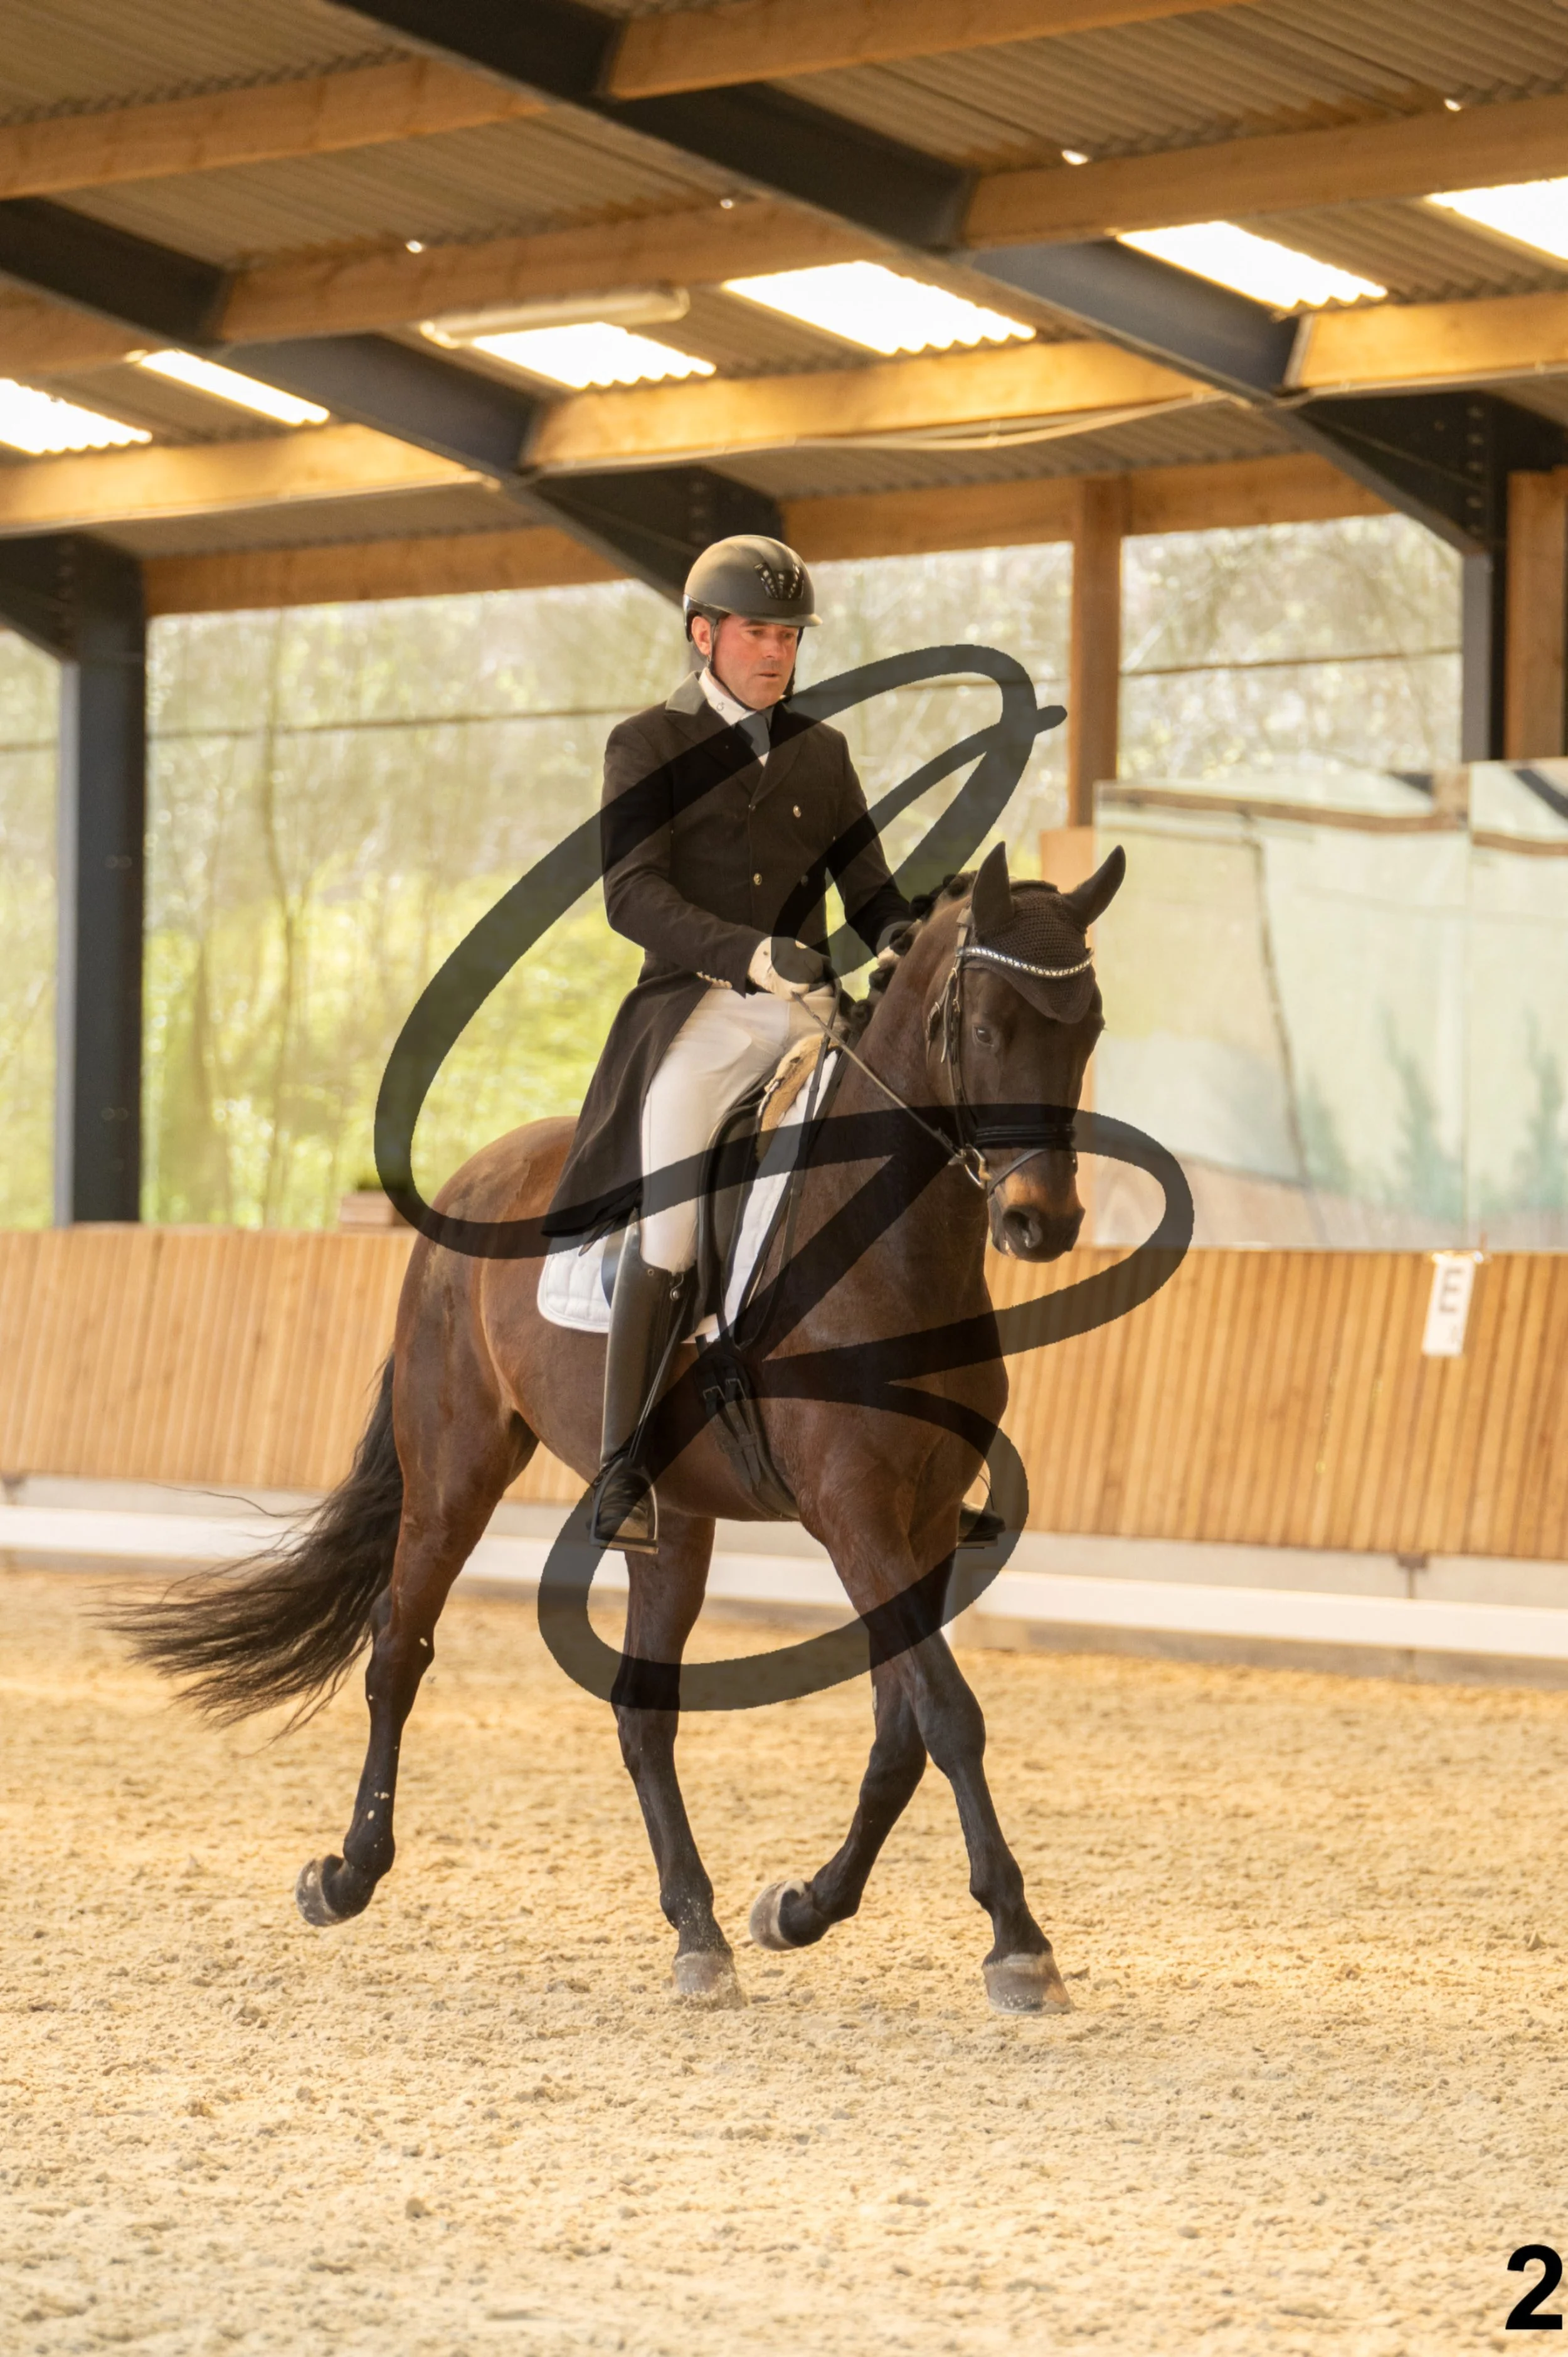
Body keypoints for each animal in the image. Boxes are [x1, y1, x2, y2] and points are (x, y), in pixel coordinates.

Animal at [119, 842, 1124, 2015]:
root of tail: (479, 1172)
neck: (885, 1248)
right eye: (986, 1029)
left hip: (673, 1516)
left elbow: (901, 1731)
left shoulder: (918, 1522)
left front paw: (801, 1907)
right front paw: (1019, 1941)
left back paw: (697, 1927)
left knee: (644, 1710)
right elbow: (949, 1715)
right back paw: (348, 1874)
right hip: (456, 1465)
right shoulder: (857, 1516)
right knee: (399, 1646)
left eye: (1088, 1029)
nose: (1041, 1222)